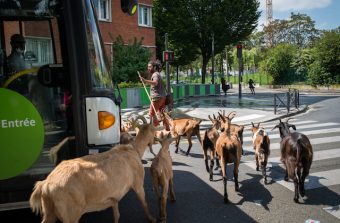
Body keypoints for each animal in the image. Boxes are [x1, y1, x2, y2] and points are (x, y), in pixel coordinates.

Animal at [29, 119, 157, 222]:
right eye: (153, 129)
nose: (156, 139)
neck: (134, 150)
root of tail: (45, 184)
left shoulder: (114, 197)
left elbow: (116, 214)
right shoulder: (138, 183)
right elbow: (144, 202)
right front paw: (152, 218)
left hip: (49, 211)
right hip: (70, 214)